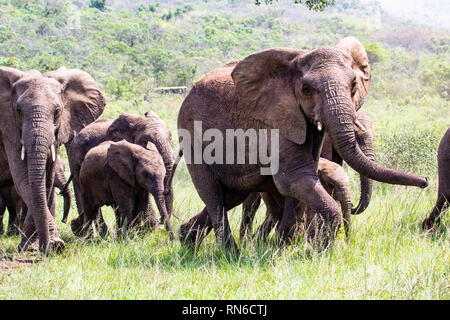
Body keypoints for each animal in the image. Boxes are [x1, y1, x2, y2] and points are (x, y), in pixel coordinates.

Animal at [0, 67, 105, 252]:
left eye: (57, 111)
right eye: (18, 110)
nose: (47, 246)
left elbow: (45, 181)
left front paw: (46, 245)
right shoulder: (8, 128)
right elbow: (23, 179)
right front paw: (45, 245)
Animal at [176, 37, 428, 252]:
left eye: (354, 85)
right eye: (306, 90)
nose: (425, 180)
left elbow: (299, 181)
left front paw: (284, 247)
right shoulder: (276, 120)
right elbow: (292, 177)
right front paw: (322, 251)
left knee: (231, 194)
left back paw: (187, 240)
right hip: (191, 138)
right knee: (213, 195)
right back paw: (231, 254)